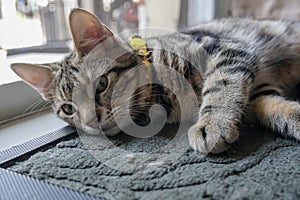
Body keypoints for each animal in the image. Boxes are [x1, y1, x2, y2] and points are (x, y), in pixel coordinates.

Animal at [11, 8, 300, 154]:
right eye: (68, 109)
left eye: (101, 84)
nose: (91, 121)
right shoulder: (255, 89)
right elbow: (272, 106)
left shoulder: (228, 49)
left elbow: (221, 86)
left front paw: (211, 123)